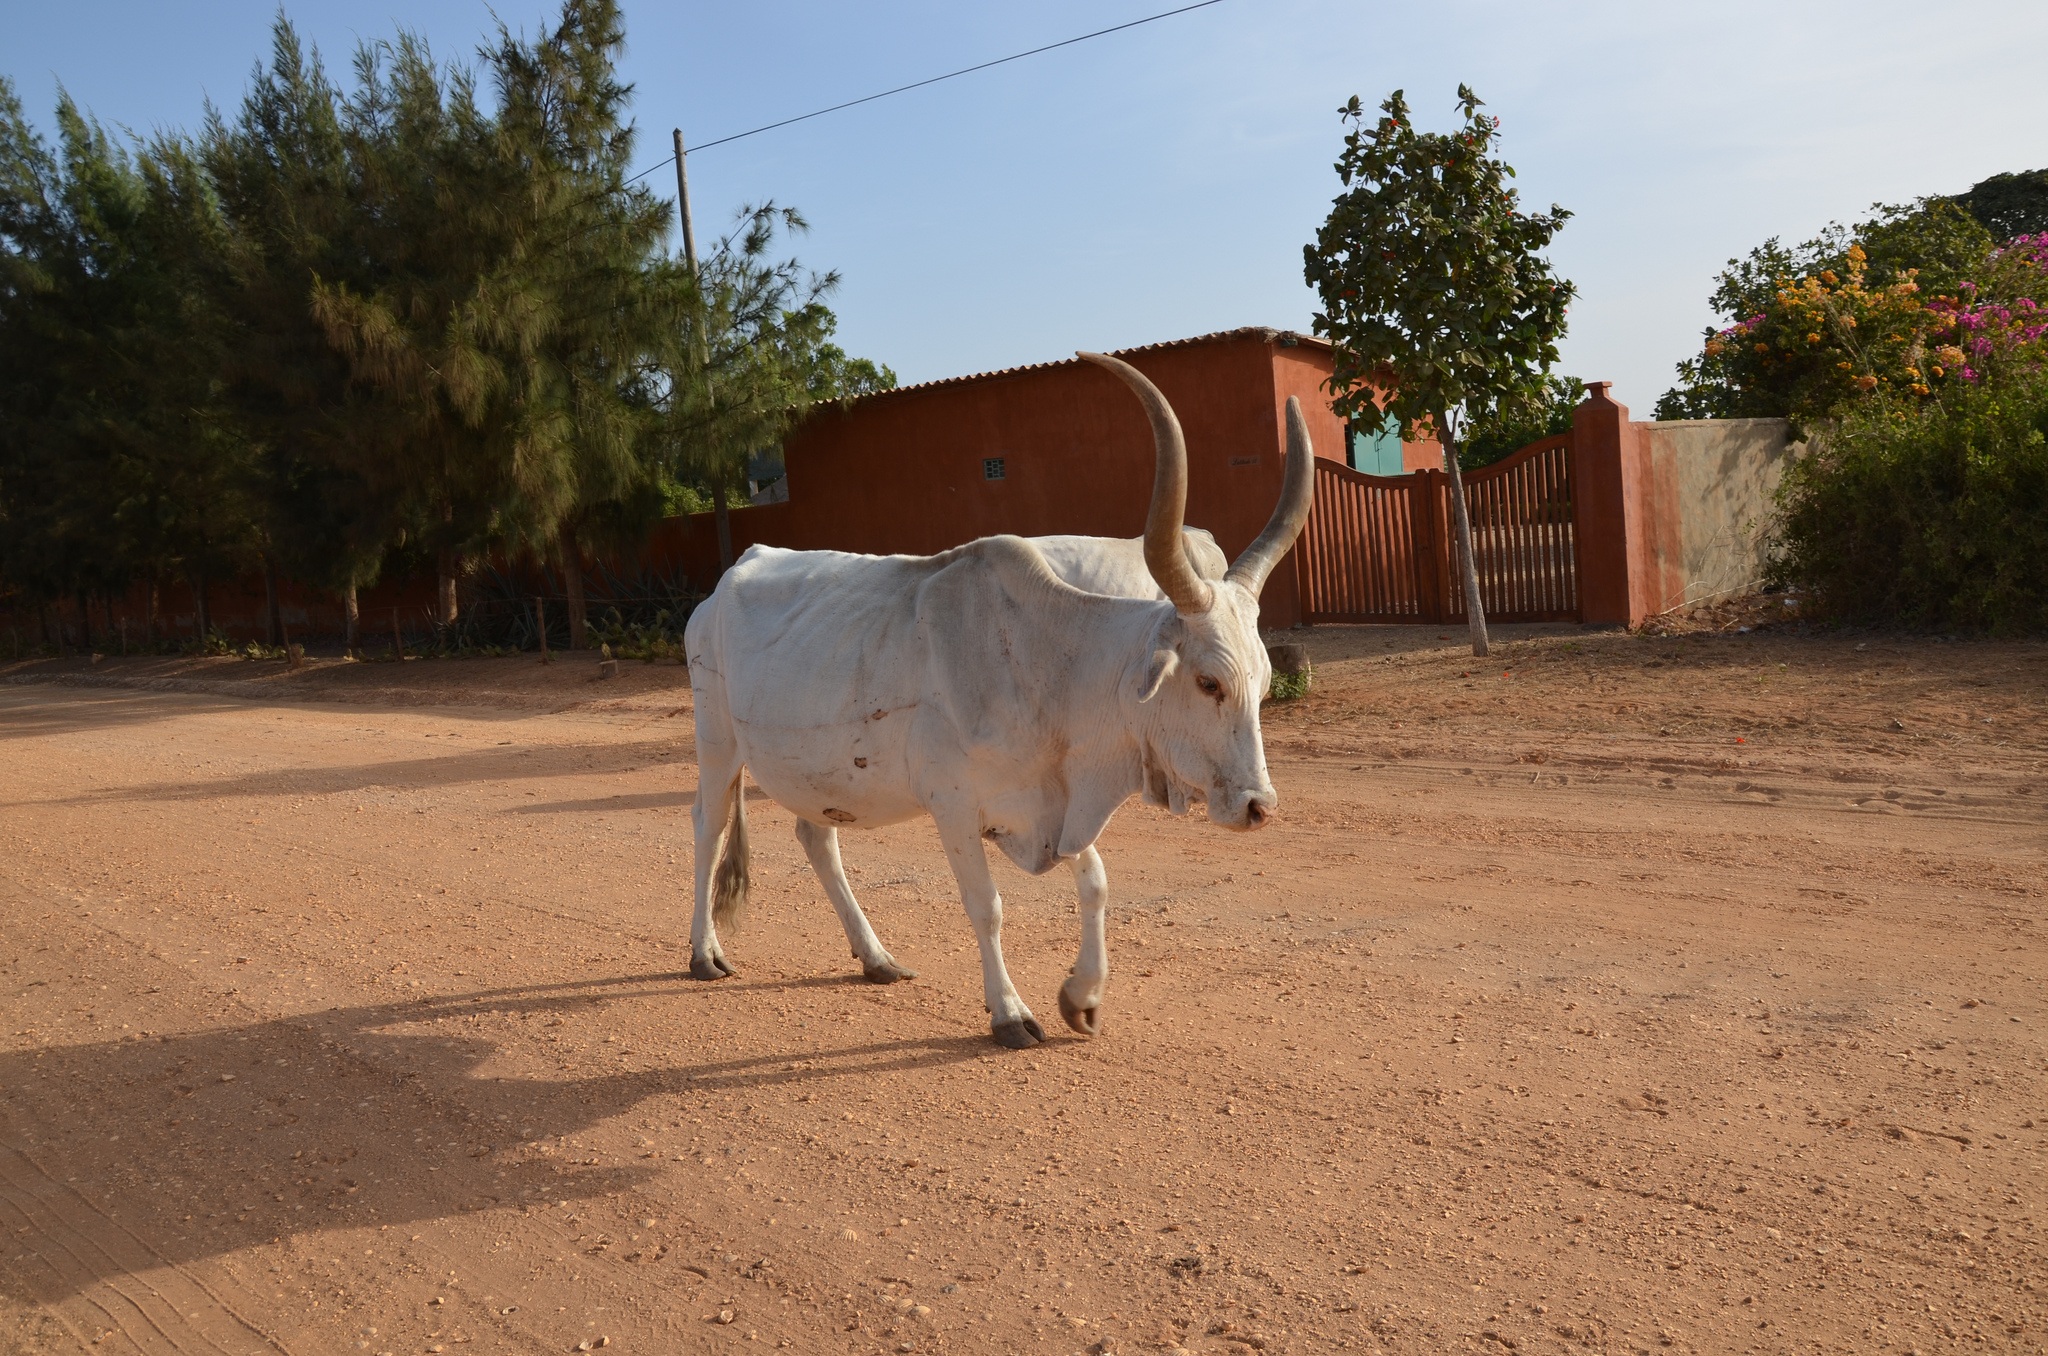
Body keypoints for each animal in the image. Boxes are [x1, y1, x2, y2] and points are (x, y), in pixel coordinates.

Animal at [679, 352, 1302, 1048]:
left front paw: (1082, 997)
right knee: (708, 825)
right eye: (1209, 682)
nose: (1259, 806)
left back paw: (876, 957)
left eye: (1263, 684)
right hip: (717, 741)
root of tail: (732, 575)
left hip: (817, 771)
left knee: (817, 838)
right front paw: (1009, 1011)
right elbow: (988, 907)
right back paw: (704, 952)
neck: (1045, 665)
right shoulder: (952, 806)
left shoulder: (1053, 801)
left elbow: (1095, 883)